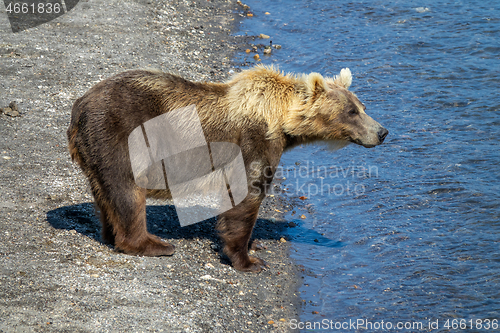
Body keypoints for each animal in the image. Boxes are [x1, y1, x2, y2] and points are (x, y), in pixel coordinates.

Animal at [66, 65, 386, 272]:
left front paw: (255, 245)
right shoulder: (252, 143)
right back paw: (152, 244)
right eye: (351, 111)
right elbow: (246, 195)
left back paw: (110, 234)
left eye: (363, 106)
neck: (281, 121)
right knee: (127, 189)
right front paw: (248, 260)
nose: (382, 132)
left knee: (105, 193)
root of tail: (78, 106)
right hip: (120, 135)